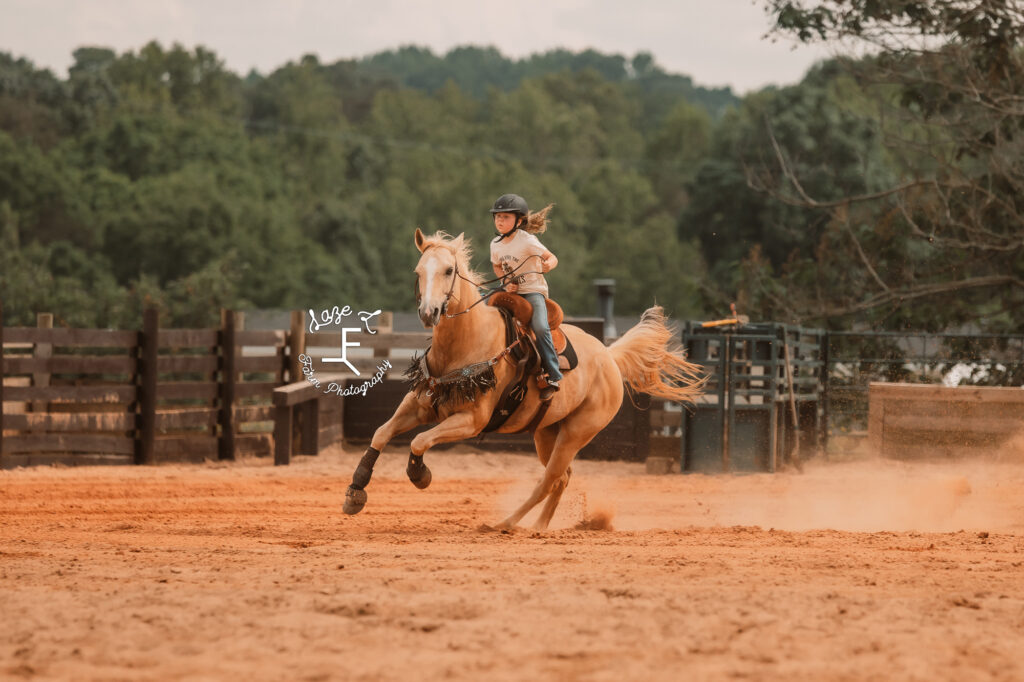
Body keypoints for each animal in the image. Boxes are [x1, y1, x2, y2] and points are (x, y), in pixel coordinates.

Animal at [344, 227, 704, 524]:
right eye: (418, 271)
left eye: (448, 270)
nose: (428, 312)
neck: (466, 342)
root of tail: (609, 357)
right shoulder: (420, 403)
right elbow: (380, 433)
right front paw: (355, 492)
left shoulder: (471, 420)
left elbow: (419, 440)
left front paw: (420, 475)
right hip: (547, 432)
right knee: (561, 478)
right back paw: (539, 527)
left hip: (577, 432)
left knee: (547, 481)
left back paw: (505, 524)